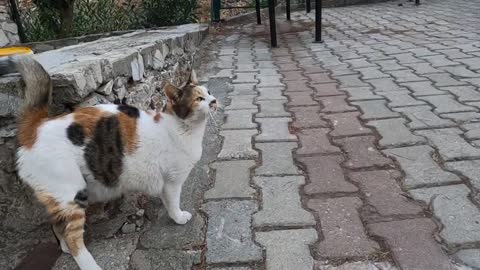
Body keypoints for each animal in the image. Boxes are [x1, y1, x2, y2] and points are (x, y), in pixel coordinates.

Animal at [1, 55, 216, 270]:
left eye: (209, 92)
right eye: (199, 99)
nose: (214, 101)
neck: (180, 128)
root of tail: (36, 125)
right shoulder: (172, 181)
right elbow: (173, 202)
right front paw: (178, 217)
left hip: (58, 197)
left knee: (57, 225)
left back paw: (65, 248)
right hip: (72, 192)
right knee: (71, 235)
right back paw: (88, 263)